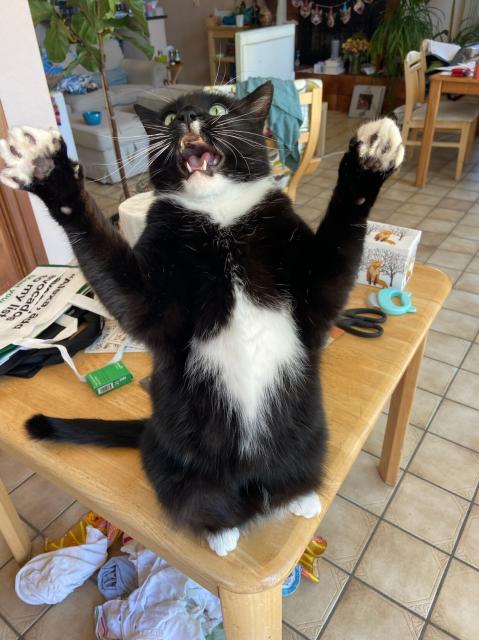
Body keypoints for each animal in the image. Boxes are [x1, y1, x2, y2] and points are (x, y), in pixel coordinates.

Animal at [0, 84, 404, 556]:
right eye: (167, 118)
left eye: (215, 108)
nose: (186, 118)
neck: (220, 216)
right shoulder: (151, 298)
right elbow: (113, 269)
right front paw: (49, 173)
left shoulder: (315, 289)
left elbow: (337, 257)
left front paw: (368, 161)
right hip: (183, 471)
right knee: (201, 504)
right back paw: (222, 534)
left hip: (311, 438)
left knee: (293, 477)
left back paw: (302, 498)